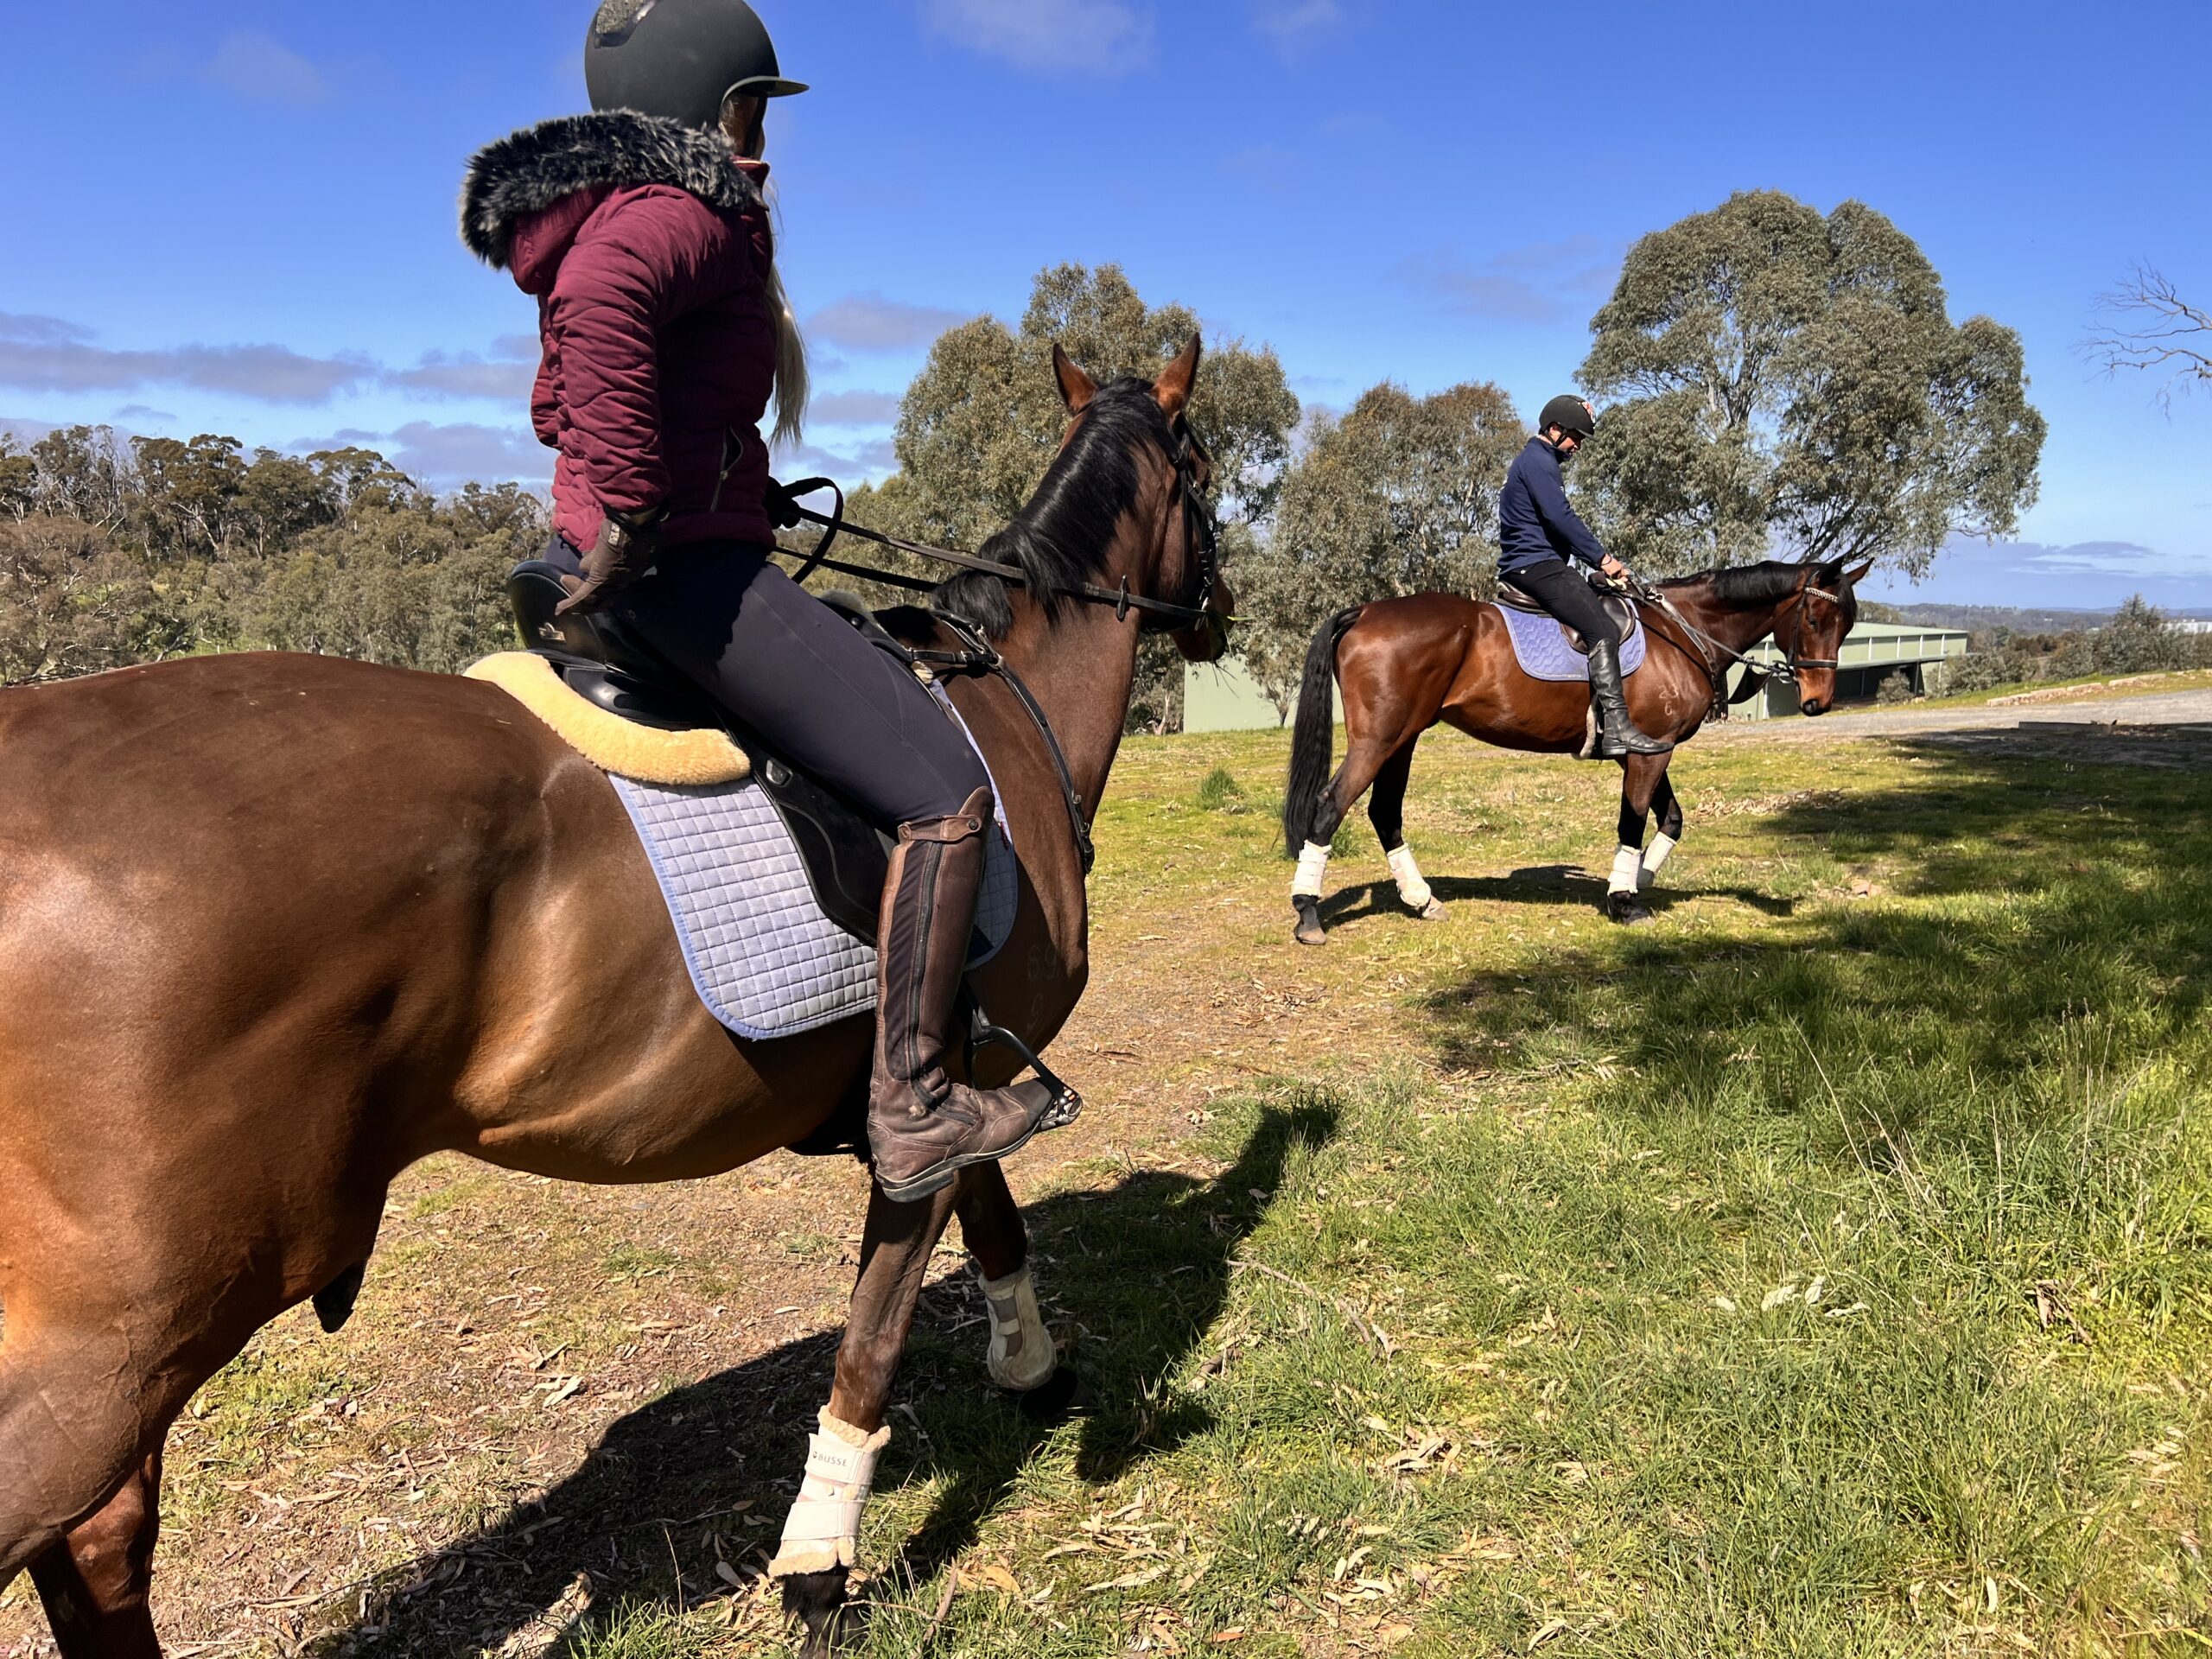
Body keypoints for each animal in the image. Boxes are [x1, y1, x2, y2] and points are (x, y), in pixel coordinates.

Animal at [0, 334, 1230, 1654]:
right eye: (1205, 470)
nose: (1218, 616)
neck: (1006, 703)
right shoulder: (942, 1098)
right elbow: (877, 1327)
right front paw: (819, 1562)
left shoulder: (956, 1069)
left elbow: (992, 1216)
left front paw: (1032, 1368)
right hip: (120, 1341)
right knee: (91, 1533)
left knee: (95, 1547)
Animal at [1282, 559, 1866, 942]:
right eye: (1815, 620)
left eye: (1848, 625)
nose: (1818, 702)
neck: (1683, 632)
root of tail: (1363, 612)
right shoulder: (1649, 753)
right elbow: (1634, 821)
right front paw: (1625, 900)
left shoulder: (1651, 748)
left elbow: (1671, 819)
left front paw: (1637, 881)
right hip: (1379, 740)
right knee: (1331, 806)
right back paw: (1308, 914)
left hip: (1403, 740)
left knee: (1384, 812)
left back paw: (1422, 901)